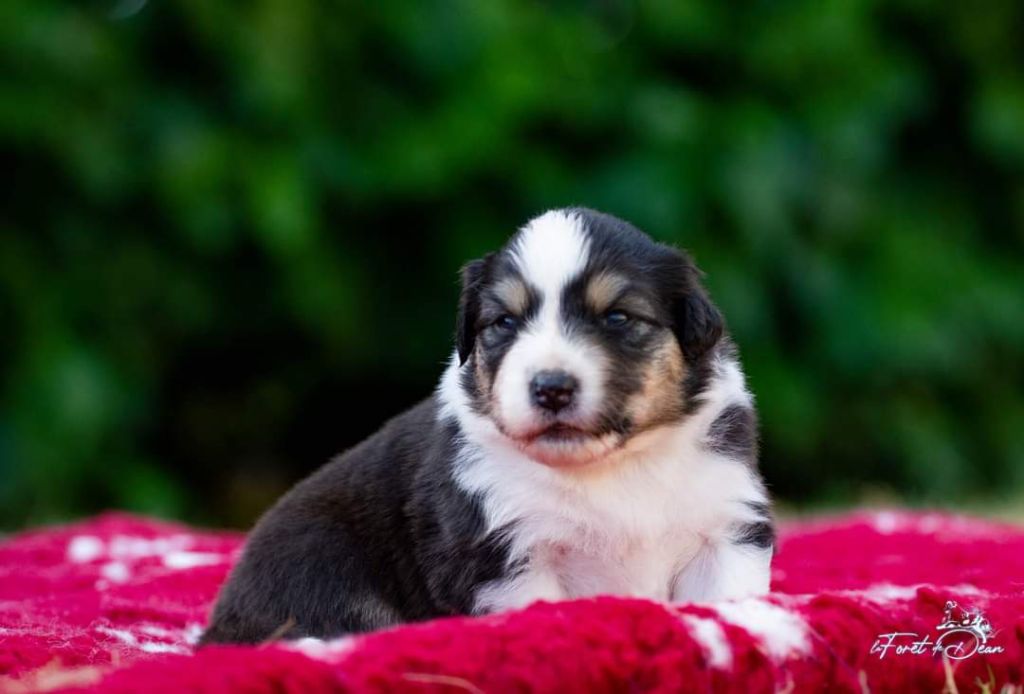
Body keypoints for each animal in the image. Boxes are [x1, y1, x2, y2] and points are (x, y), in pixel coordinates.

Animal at [200, 208, 773, 645]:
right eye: (504, 322)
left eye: (617, 317)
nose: (551, 387)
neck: (611, 468)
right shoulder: (502, 553)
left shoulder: (726, 526)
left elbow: (727, 599)